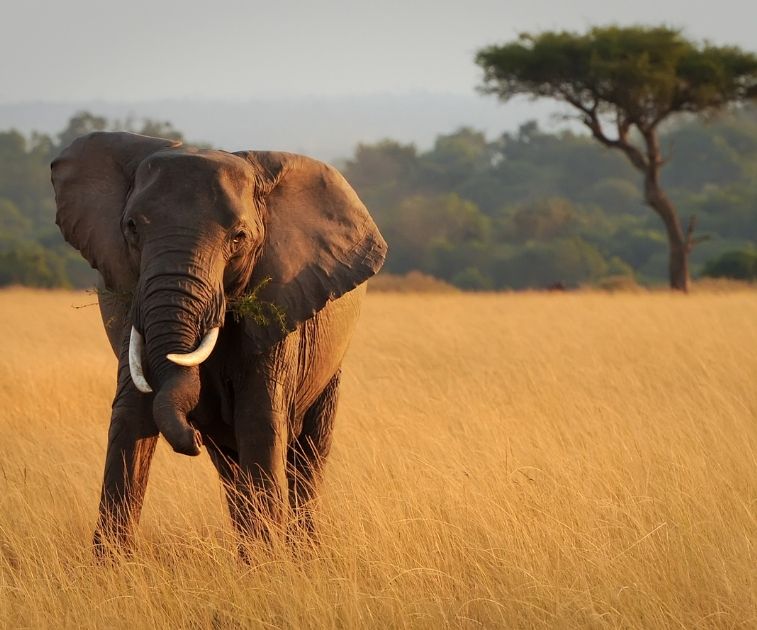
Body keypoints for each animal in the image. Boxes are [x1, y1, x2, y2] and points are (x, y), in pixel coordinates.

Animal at [51, 132, 386, 553]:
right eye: (132, 228)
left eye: (239, 238)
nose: (192, 436)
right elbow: (131, 417)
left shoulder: (280, 304)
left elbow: (259, 421)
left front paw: (270, 563)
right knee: (230, 466)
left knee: (307, 455)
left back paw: (301, 552)